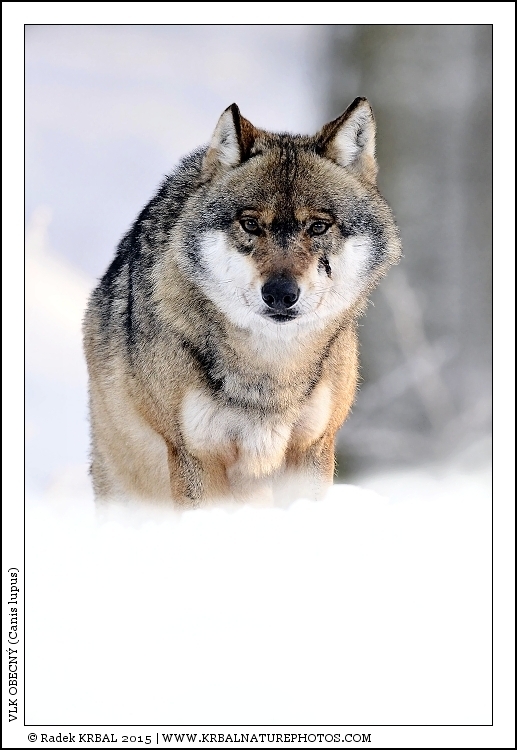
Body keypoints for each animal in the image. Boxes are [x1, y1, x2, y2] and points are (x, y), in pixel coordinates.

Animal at [83, 97, 401, 507]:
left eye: (318, 226)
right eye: (251, 224)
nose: (280, 293)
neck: (271, 370)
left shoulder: (313, 447)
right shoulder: (197, 454)